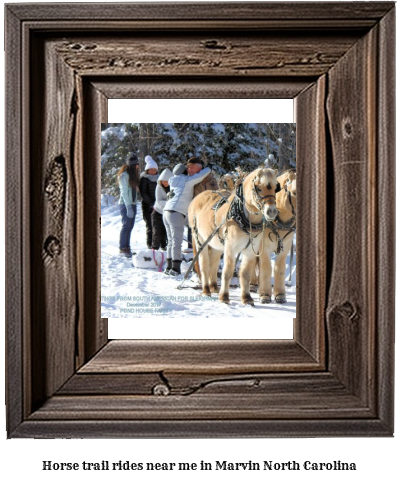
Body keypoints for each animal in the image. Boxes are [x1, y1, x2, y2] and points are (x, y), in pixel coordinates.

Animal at [188, 168, 280, 304]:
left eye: (275, 188)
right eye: (258, 188)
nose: (272, 211)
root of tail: (196, 199)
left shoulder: (250, 250)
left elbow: (246, 273)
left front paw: (247, 298)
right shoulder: (230, 248)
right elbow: (227, 272)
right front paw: (224, 297)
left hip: (216, 245)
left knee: (213, 264)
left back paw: (214, 287)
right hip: (200, 240)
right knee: (204, 265)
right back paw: (206, 290)